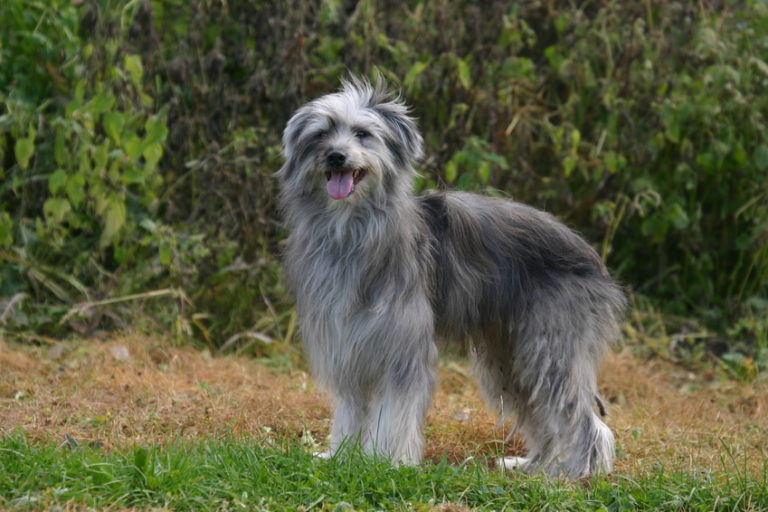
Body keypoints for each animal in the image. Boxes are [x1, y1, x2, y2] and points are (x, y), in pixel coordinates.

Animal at [276, 78, 624, 478]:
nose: (335, 156)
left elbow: (396, 414)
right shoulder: (348, 343)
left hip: (552, 347)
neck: (351, 230)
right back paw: (534, 465)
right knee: (541, 411)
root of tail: (590, 254)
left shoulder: (402, 347)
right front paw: (342, 456)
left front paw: (387, 462)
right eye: (321, 134)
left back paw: (576, 472)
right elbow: (350, 409)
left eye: (363, 134)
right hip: (510, 355)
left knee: (582, 418)